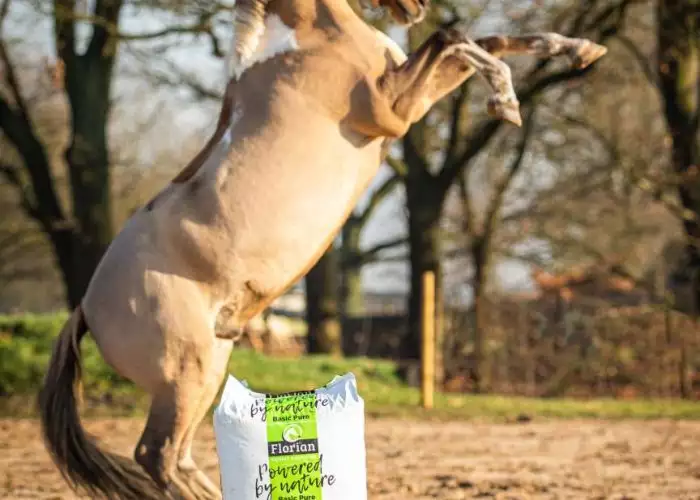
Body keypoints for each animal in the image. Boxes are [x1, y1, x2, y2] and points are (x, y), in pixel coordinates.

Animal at [38, 0, 607, 498]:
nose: (415, 10)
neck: (307, 40)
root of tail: (84, 307)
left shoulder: (408, 96)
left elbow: (486, 40)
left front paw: (581, 49)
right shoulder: (394, 109)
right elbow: (457, 38)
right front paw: (506, 102)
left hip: (208, 369)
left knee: (177, 457)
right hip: (184, 374)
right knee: (155, 455)